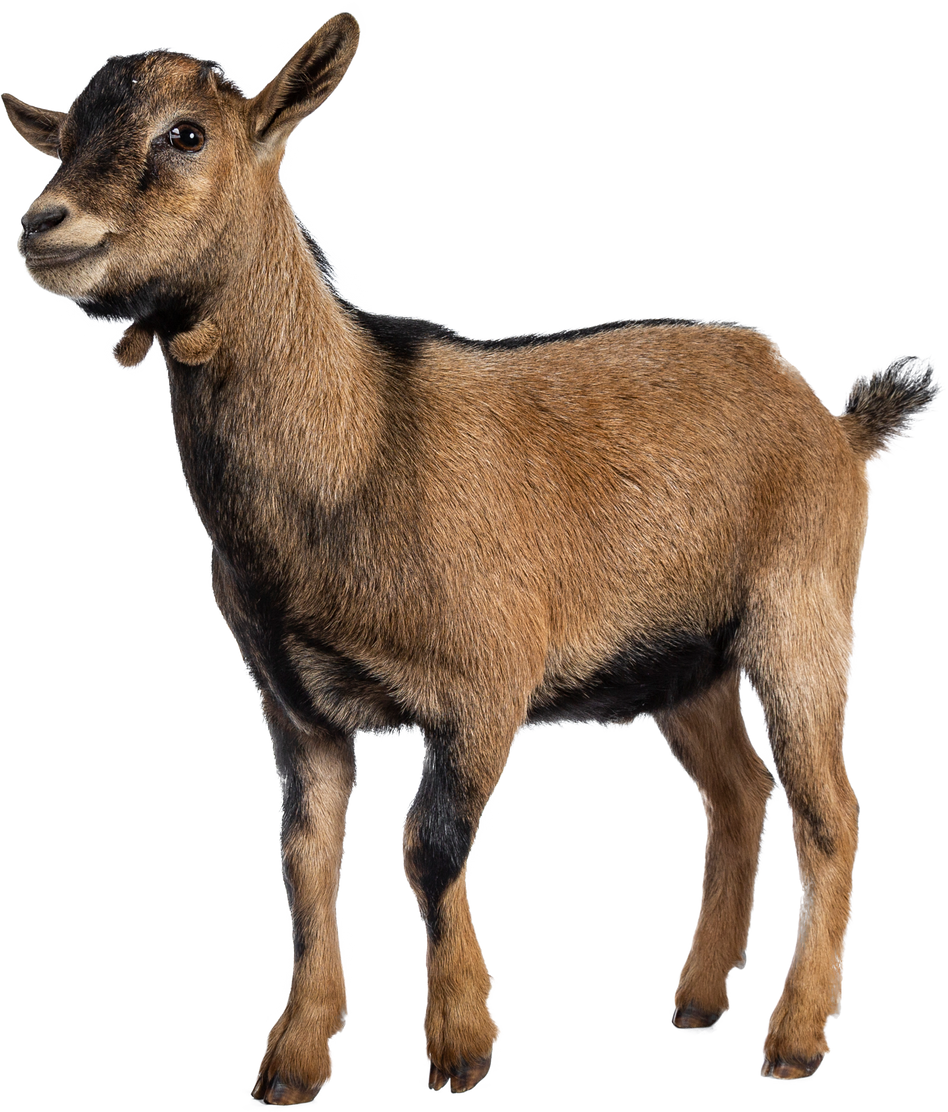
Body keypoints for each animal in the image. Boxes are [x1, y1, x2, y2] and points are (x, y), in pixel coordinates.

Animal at [4, 7, 943, 1103]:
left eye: (185, 134)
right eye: (63, 133)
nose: (45, 224)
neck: (359, 446)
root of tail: (837, 424)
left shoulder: (484, 683)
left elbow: (431, 843)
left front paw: (460, 1044)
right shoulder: (294, 703)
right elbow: (305, 861)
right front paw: (291, 1063)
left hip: (802, 613)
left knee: (830, 810)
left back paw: (792, 1038)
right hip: (682, 660)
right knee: (739, 792)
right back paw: (699, 999)